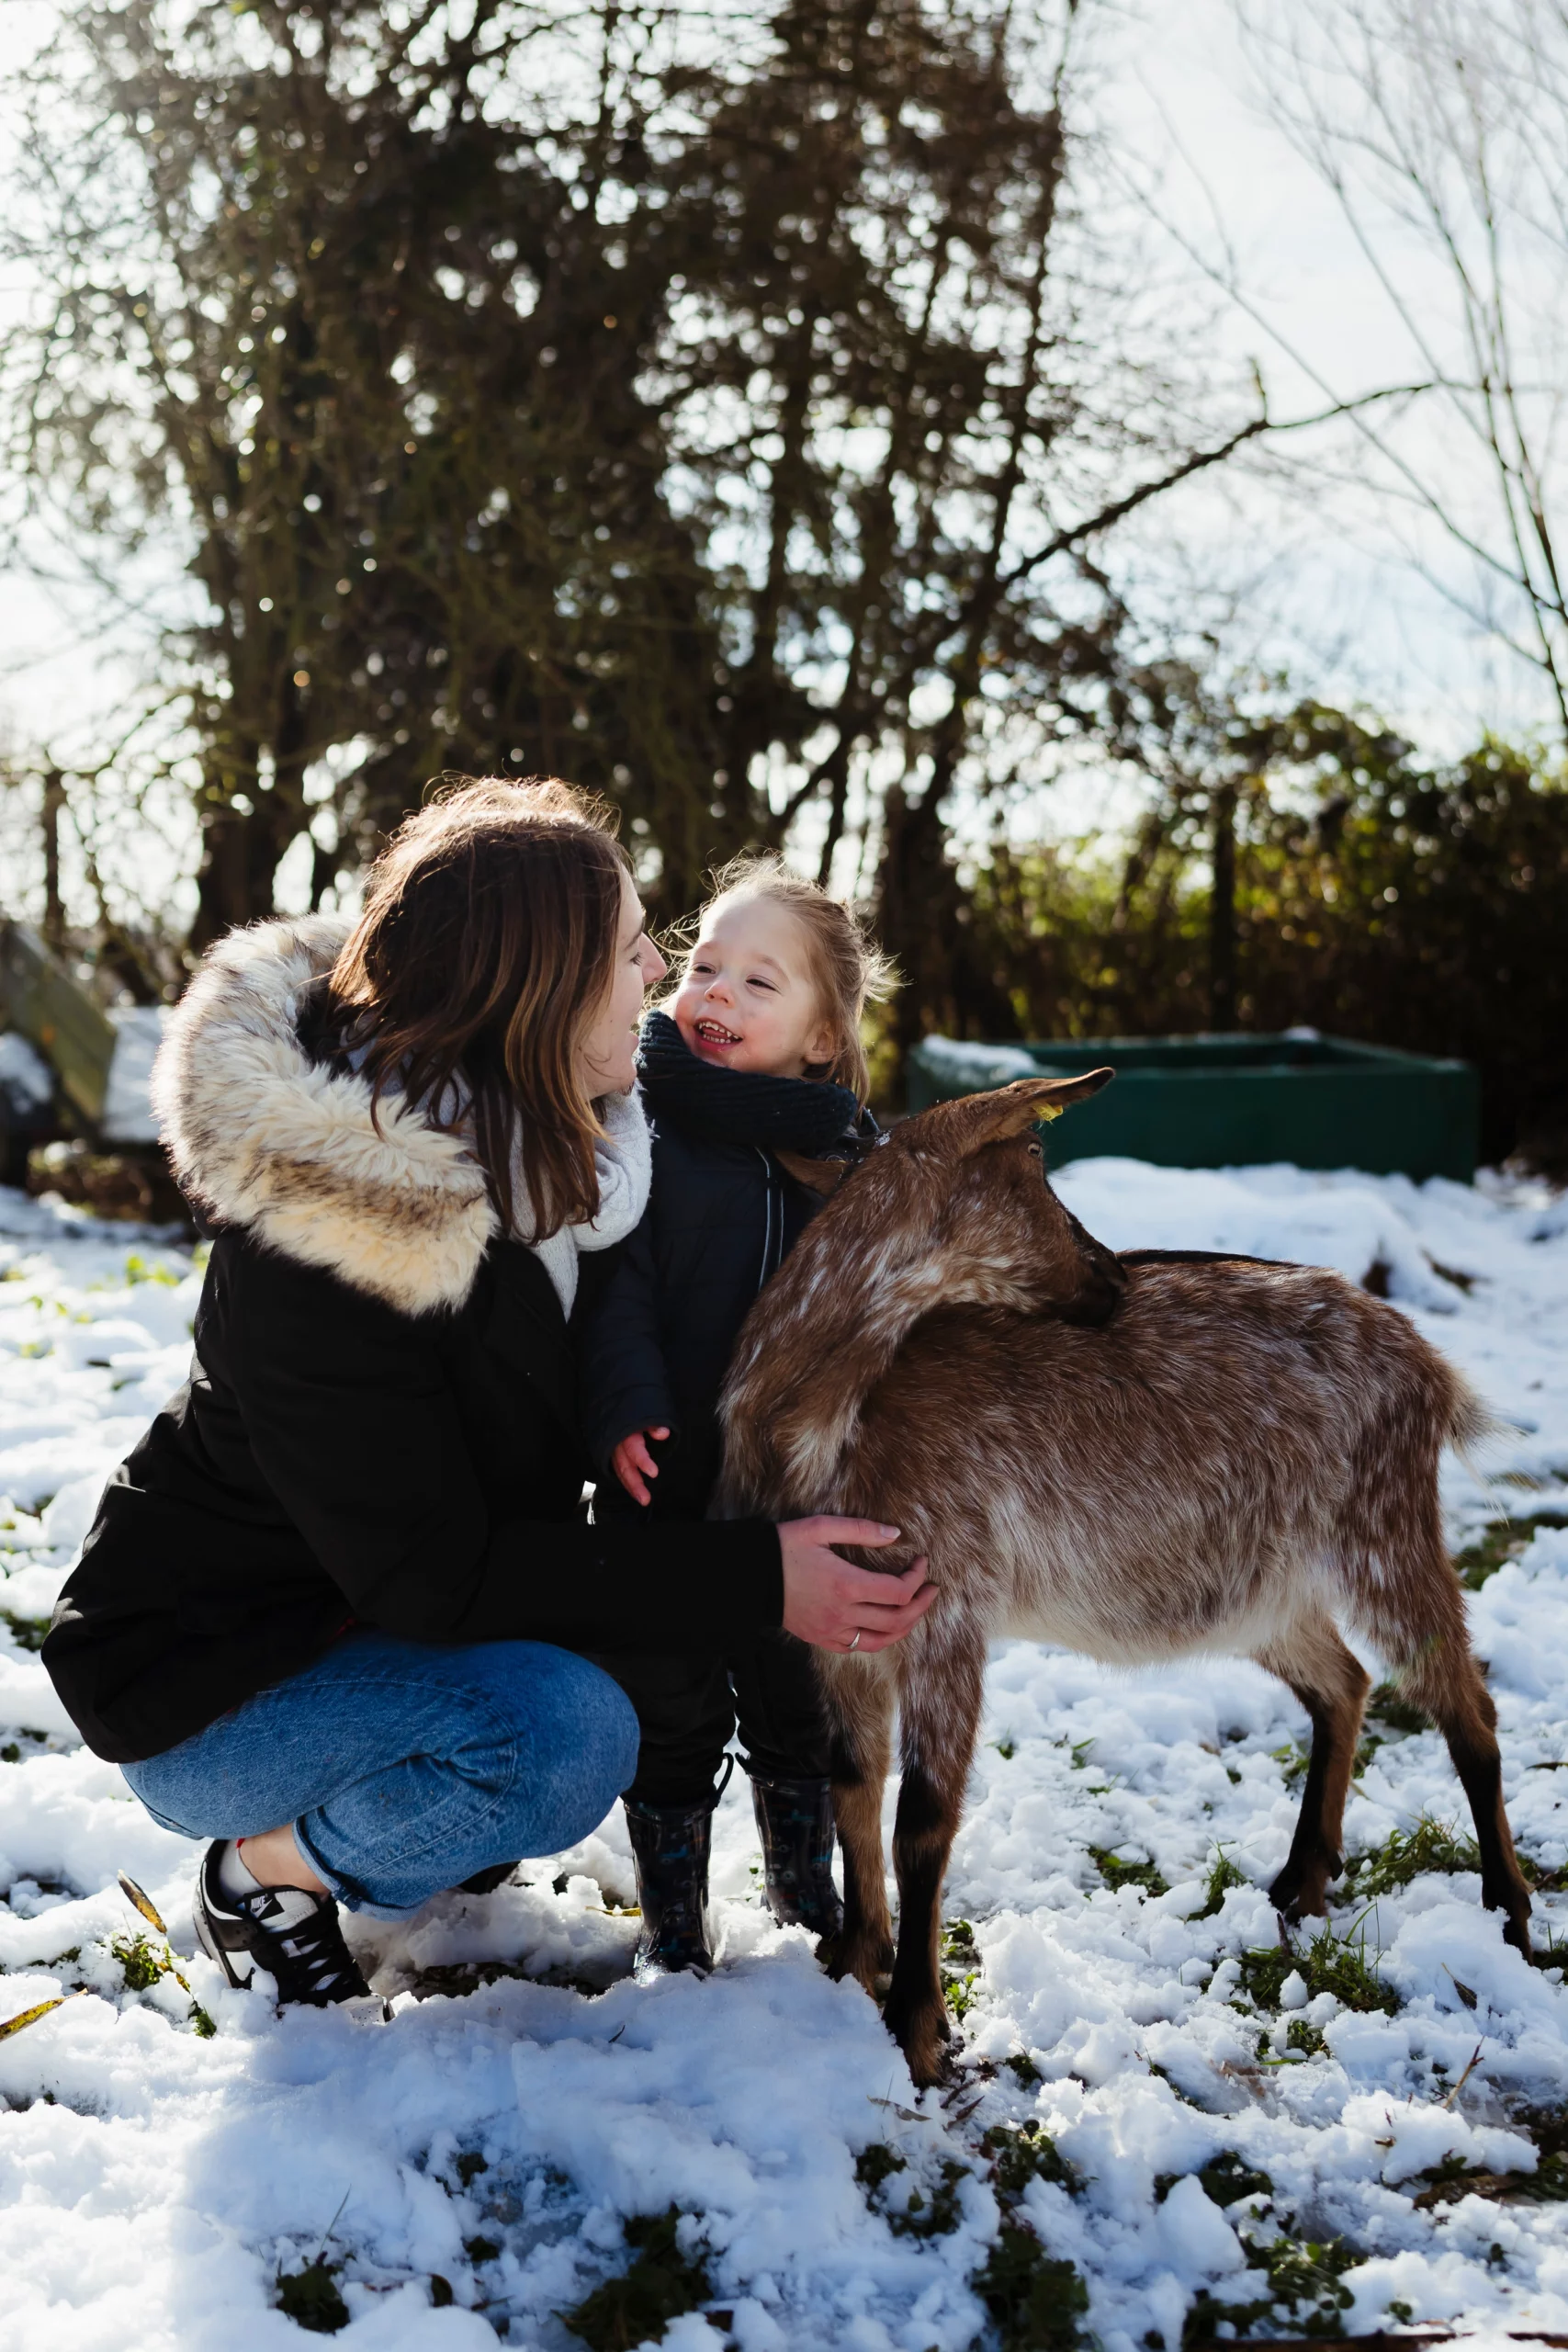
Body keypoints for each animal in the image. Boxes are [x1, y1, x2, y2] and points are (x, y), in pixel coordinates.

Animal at [715, 1073, 1533, 2087]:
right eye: (1035, 1155)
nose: (1111, 1271)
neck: (830, 1428)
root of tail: (1431, 1366)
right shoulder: (841, 1629)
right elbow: (852, 1785)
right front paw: (854, 1962)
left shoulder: (951, 1603)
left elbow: (922, 1820)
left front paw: (919, 2028)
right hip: (1258, 1587)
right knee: (1345, 1680)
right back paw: (1299, 1883)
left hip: (1382, 1528)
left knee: (1464, 1698)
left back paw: (1509, 1912)